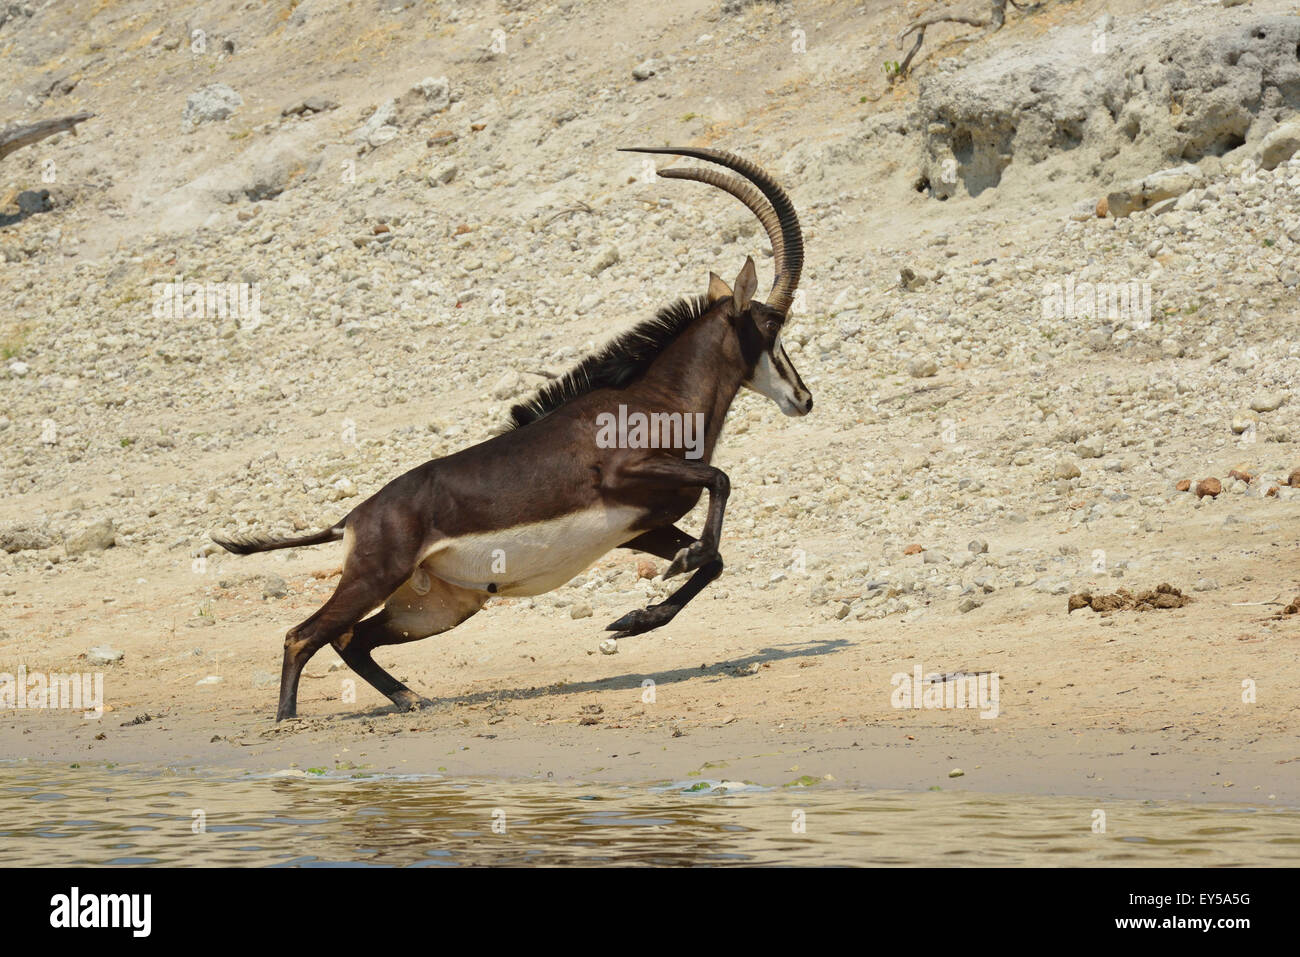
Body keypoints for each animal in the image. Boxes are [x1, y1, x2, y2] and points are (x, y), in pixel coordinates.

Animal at [212, 147, 813, 721]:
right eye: (772, 326)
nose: (804, 398)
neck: (656, 400)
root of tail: (353, 519)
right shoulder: (625, 476)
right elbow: (720, 481)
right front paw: (663, 584)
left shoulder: (642, 524)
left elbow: (715, 558)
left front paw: (633, 619)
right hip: (375, 579)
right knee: (303, 636)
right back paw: (290, 720)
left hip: (437, 607)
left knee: (351, 639)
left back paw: (410, 700)